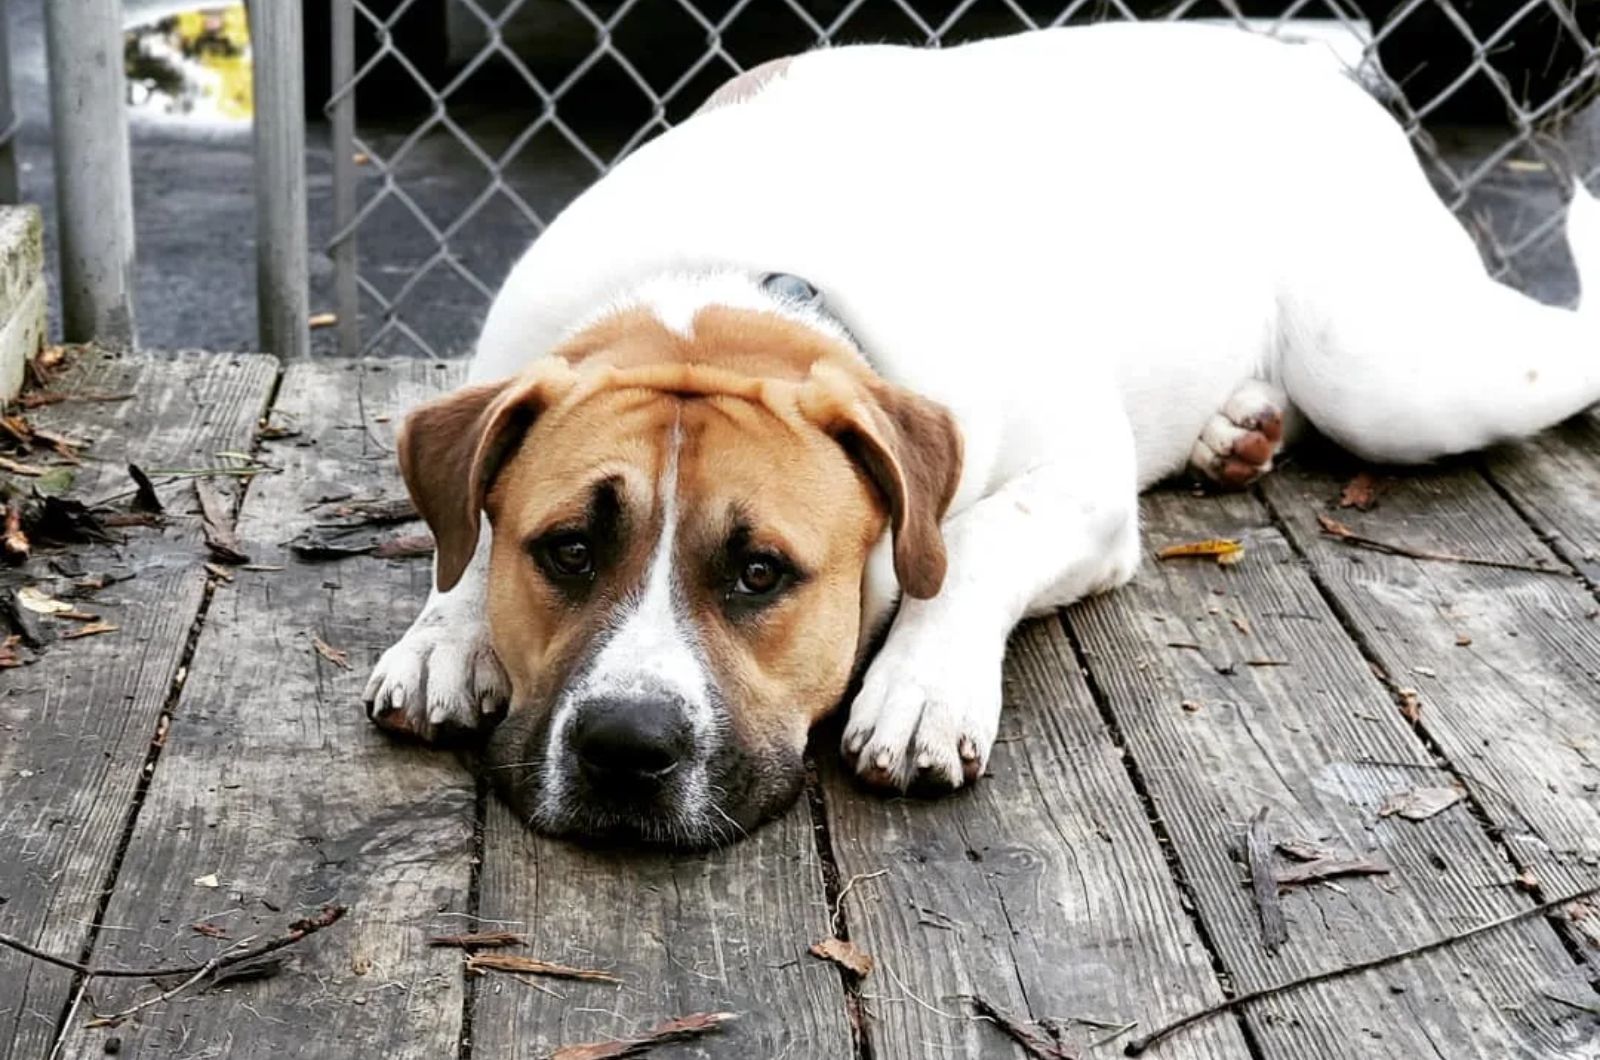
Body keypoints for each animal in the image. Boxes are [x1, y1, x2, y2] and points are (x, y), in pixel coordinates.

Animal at [363, 20, 1600, 845]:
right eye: (567, 549)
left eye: (761, 574)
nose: (626, 744)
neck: (722, 286)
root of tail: (1311, 57)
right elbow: (465, 531)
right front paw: (446, 631)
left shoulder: (1081, 488)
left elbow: (968, 545)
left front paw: (921, 688)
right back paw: (1236, 429)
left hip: (1388, 369)